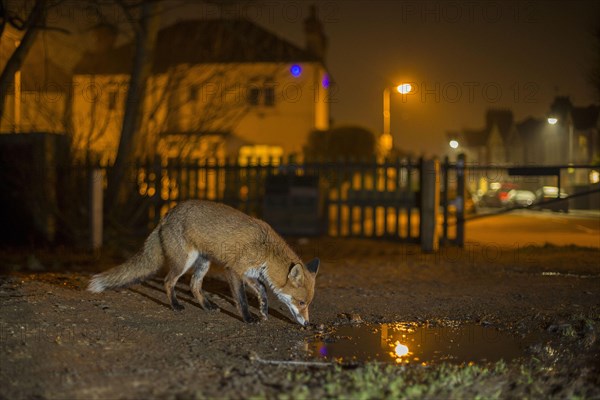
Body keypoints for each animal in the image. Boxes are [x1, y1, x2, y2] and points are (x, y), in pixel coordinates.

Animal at [88, 200, 318, 324]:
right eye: (302, 303)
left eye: (307, 303)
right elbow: (242, 299)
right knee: (168, 281)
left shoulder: (250, 273)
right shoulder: (233, 270)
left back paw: (207, 306)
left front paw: (263, 310)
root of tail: (167, 214)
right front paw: (248, 318)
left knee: (193, 285)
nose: (307, 324)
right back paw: (175, 305)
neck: (266, 251)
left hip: (203, 263)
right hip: (184, 262)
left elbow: (262, 289)